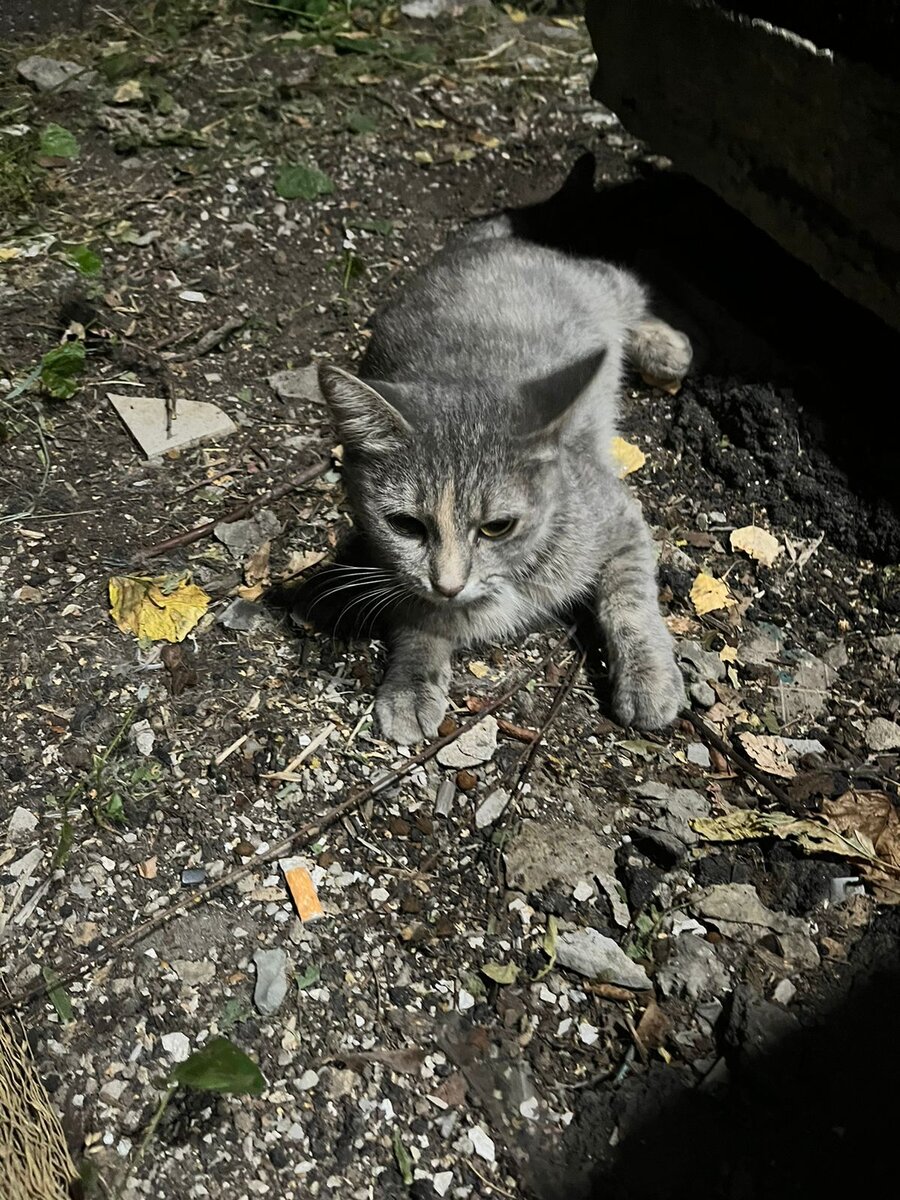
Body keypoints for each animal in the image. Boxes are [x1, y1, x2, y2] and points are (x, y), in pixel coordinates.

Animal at [321, 214, 696, 739]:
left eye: (497, 527)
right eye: (406, 525)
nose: (449, 584)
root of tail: (487, 243)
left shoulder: (620, 518)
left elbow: (631, 600)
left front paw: (649, 675)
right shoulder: (392, 566)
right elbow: (418, 617)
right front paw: (411, 683)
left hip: (600, 288)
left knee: (625, 284)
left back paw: (662, 344)